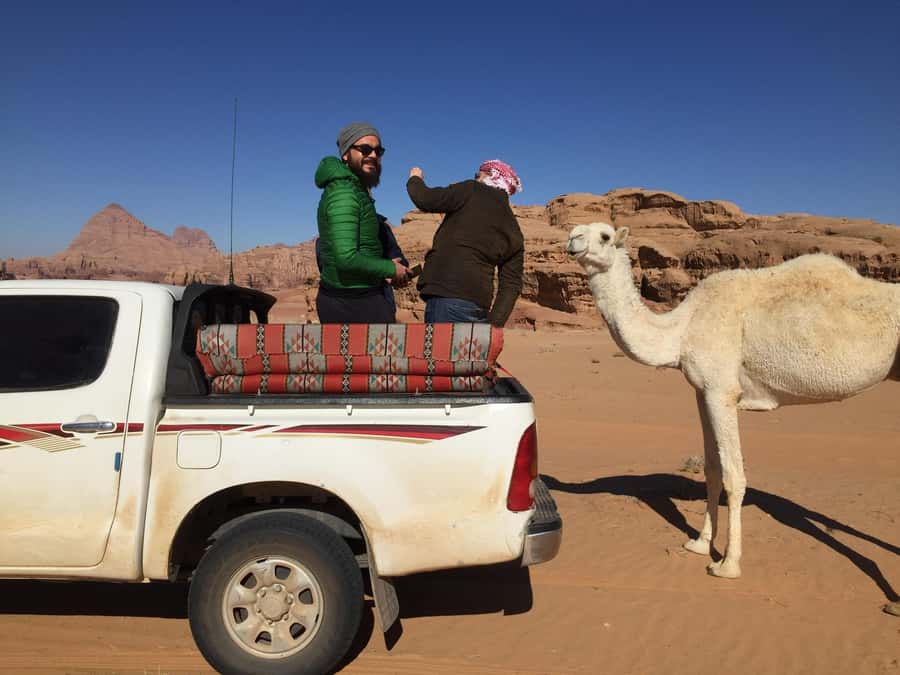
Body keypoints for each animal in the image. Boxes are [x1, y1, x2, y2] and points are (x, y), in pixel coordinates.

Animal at [566, 221, 900, 580]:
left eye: (604, 236)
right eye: (575, 229)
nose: (572, 240)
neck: (681, 329)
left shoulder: (721, 390)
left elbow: (733, 476)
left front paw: (727, 563)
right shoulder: (702, 392)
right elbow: (712, 469)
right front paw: (699, 544)